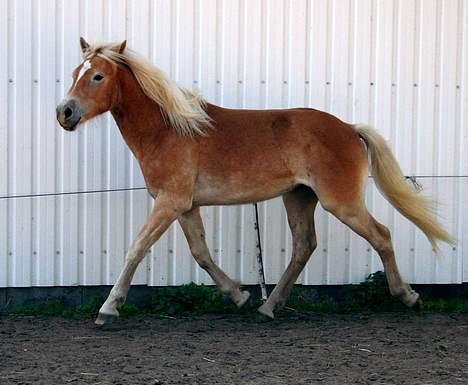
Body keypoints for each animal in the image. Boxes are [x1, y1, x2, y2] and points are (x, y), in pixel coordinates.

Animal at [55, 38, 454, 324]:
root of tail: (349, 128)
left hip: (340, 201)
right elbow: (201, 253)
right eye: (75, 71)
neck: (169, 130)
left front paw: (108, 309)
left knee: (381, 235)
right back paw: (267, 307)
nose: (65, 112)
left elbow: (136, 248)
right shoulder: (185, 206)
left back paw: (408, 296)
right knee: (304, 245)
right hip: (299, 197)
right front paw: (239, 295)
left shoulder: (169, 202)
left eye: (97, 76)